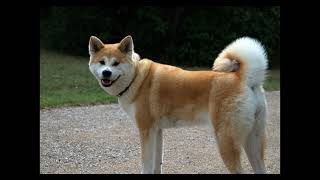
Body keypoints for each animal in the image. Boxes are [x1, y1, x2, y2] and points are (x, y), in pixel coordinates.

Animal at [87, 34, 268, 174]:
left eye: (116, 63)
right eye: (102, 62)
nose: (106, 73)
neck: (136, 77)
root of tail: (244, 79)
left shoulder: (146, 130)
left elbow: (146, 163)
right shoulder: (157, 131)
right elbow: (157, 163)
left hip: (226, 141)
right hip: (253, 143)